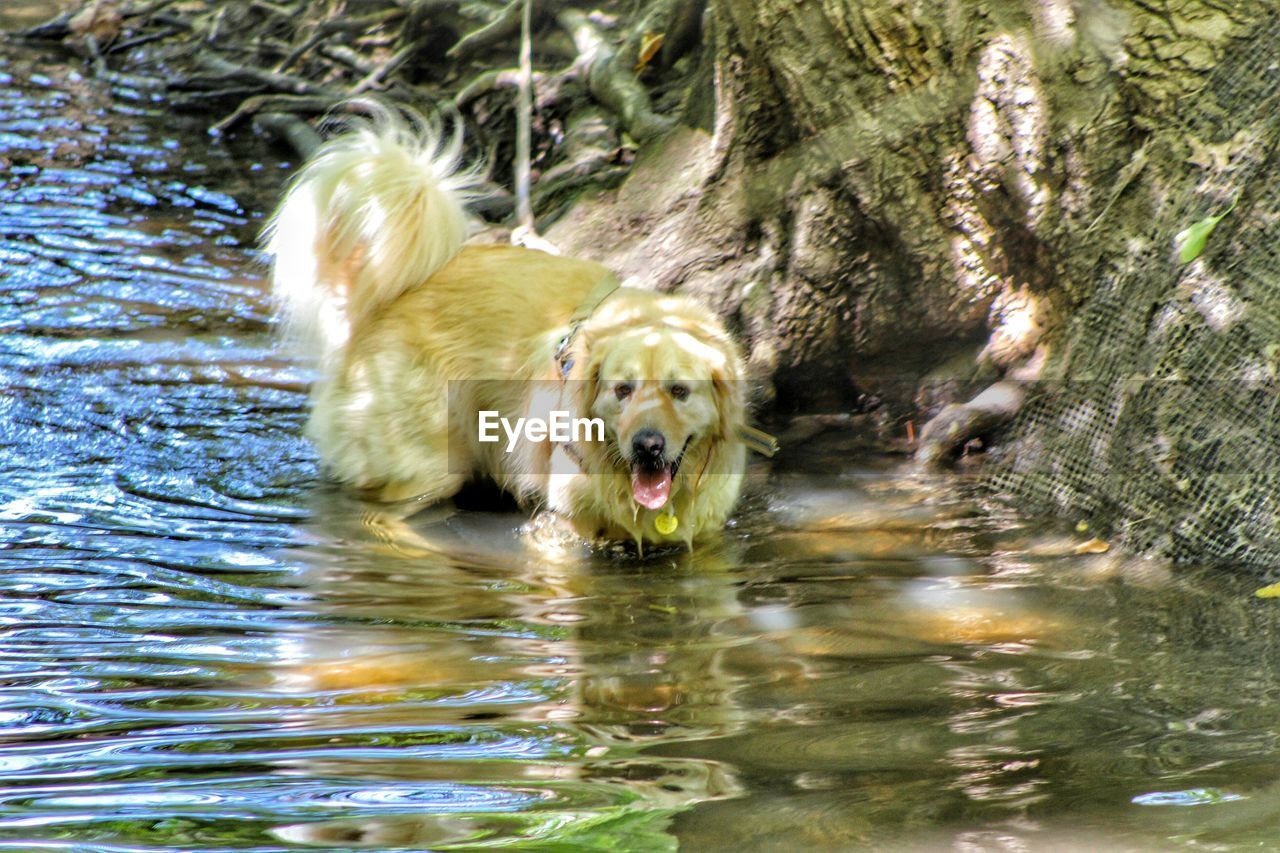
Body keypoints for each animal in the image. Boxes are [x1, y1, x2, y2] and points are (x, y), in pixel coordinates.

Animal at [262, 112, 757, 548]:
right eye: (623, 390)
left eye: (680, 391)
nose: (646, 447)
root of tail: (395, 295)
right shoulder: (565, 524)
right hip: (423, 465)